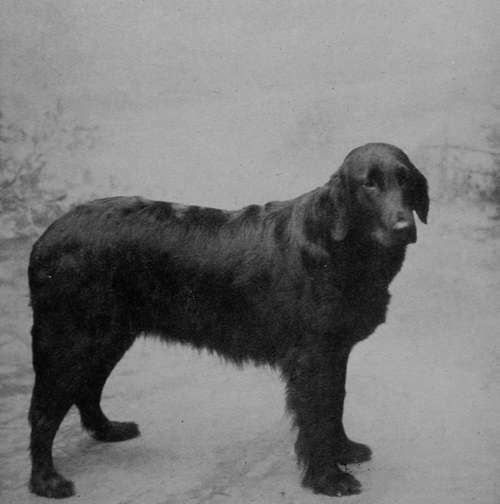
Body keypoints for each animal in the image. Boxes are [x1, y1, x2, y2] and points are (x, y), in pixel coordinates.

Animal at [27, 142, 428, 496]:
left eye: (405, 179)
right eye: (368, 184)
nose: (404, 228)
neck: (335, 243)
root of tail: (46, 237)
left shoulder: (335, 351)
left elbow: (335, 403)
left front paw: (344, 450)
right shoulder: (312, 357)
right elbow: (317, 415)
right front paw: (328, 478)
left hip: (108, 337)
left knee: (87, 388)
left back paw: (107, 429)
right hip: (72, 340)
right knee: (43, 412)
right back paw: (46, 482)